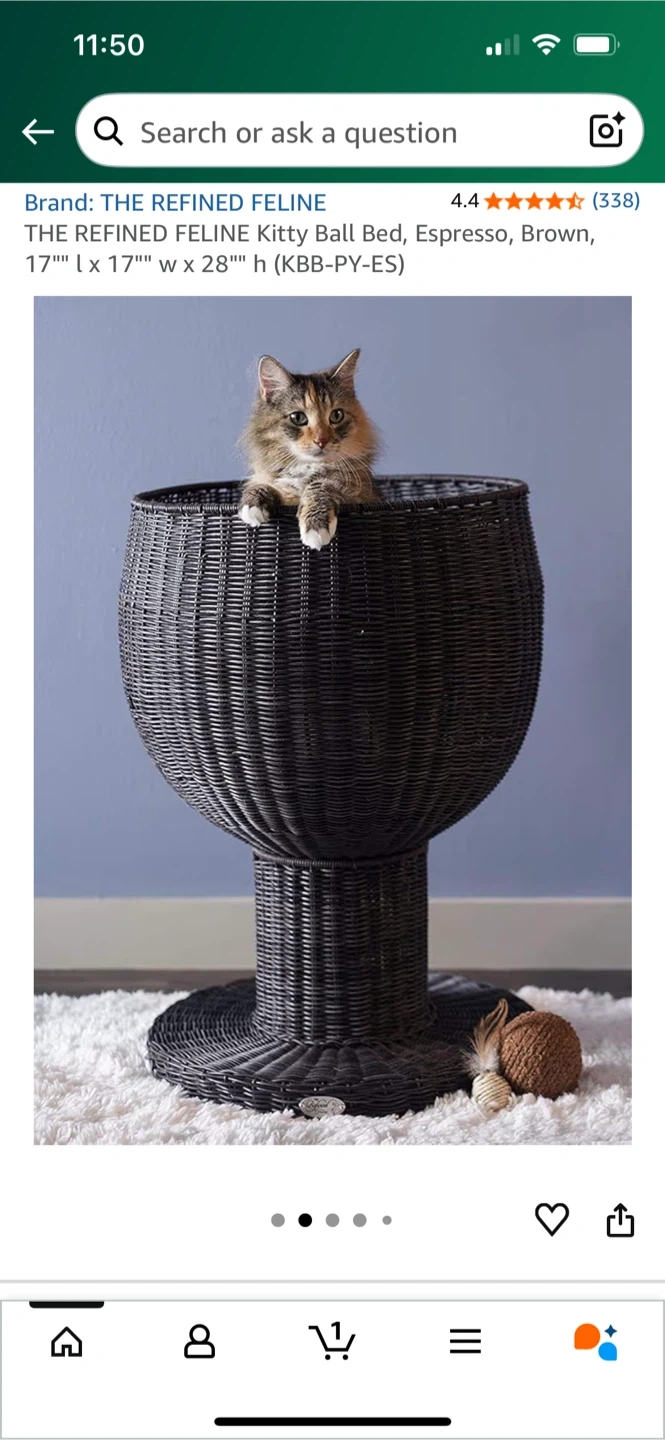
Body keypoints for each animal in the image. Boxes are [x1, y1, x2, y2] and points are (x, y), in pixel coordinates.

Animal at [238, 349, 380, 549]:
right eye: (297, 418)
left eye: (336, 415)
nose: (321, 441)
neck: (307, 468)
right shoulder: (271, 479)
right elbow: (265, 485)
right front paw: (252, 507)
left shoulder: (360, 494)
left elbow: (320, 487)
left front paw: (316, 530)